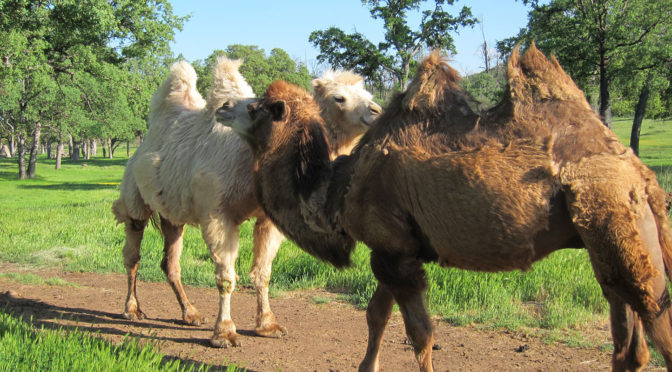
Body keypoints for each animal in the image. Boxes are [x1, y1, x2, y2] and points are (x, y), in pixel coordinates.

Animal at [226, 44, 672, 372]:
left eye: (257, 108)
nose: (224, 109)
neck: (337, 188)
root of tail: (641, 174)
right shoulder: (393, 249)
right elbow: (376, 316)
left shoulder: (394, 252)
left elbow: (421, 334)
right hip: (607, 242)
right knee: (629, 346)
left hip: (616, 219)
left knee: (655, 326)